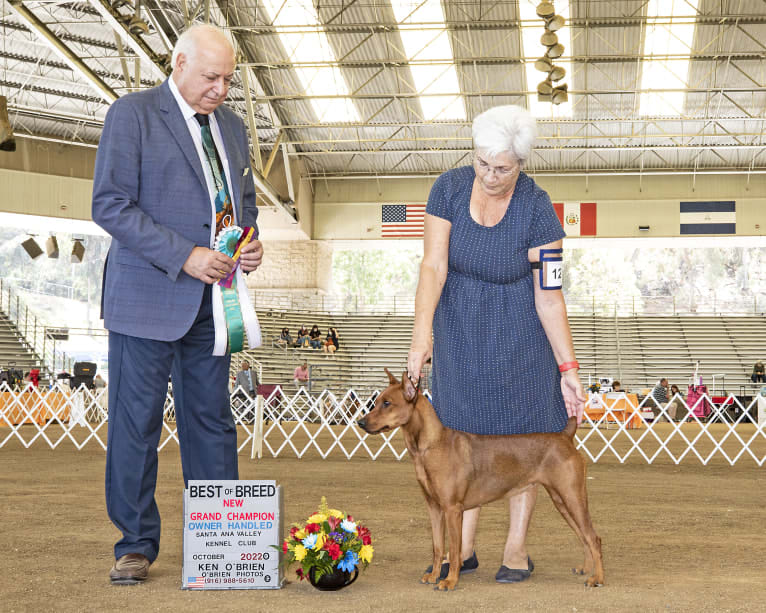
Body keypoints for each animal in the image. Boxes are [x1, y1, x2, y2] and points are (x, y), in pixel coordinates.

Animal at [360, 368, 608, 588]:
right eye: (376, 401)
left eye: (387, 403)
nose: (361, 422)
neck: (431, 445)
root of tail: (565, 436)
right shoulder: (434, 507)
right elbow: (438, 547)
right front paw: (433, 576)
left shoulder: (452, 508)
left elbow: (454, 549)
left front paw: (449, 581)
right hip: (561, 500)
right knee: (583, 535)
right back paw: (586, 568)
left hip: (572, 496)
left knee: (593, 537)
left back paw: (597, 578)